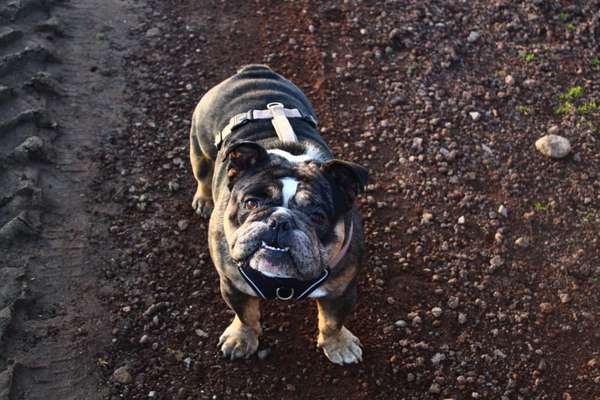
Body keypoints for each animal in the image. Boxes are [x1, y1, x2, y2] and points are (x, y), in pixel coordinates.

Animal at [189, 64, 366, 364]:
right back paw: (203, 200)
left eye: (317, 217)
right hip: (200, 146)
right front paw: (242, 338)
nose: (279, 220)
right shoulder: (232, 284)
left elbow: (333, 321)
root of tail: (252, 71)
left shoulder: (342, 290)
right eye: (250, 203)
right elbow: (245, 315)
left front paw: (338, 344)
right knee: (202, 173)